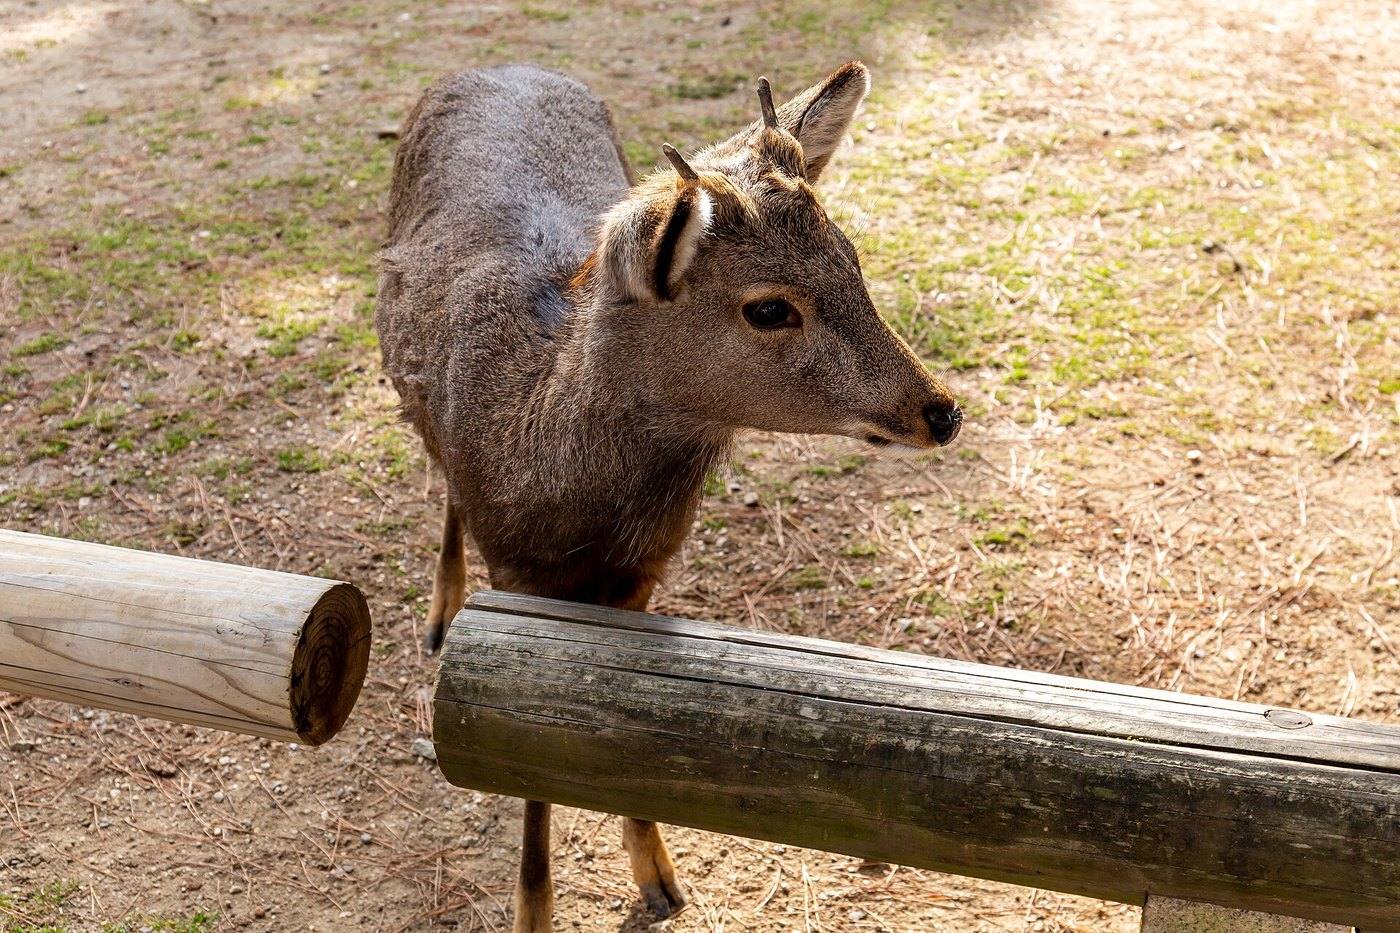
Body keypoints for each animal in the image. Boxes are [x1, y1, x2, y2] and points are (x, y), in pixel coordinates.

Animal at [375, 60, 962, 933]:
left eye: (852, 259)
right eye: (769, 306)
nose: (942, 409)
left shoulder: (643, 580)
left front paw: (659, 877)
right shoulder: (517, 582)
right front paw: (534, 912)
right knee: (442, 482)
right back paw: (440, 614)